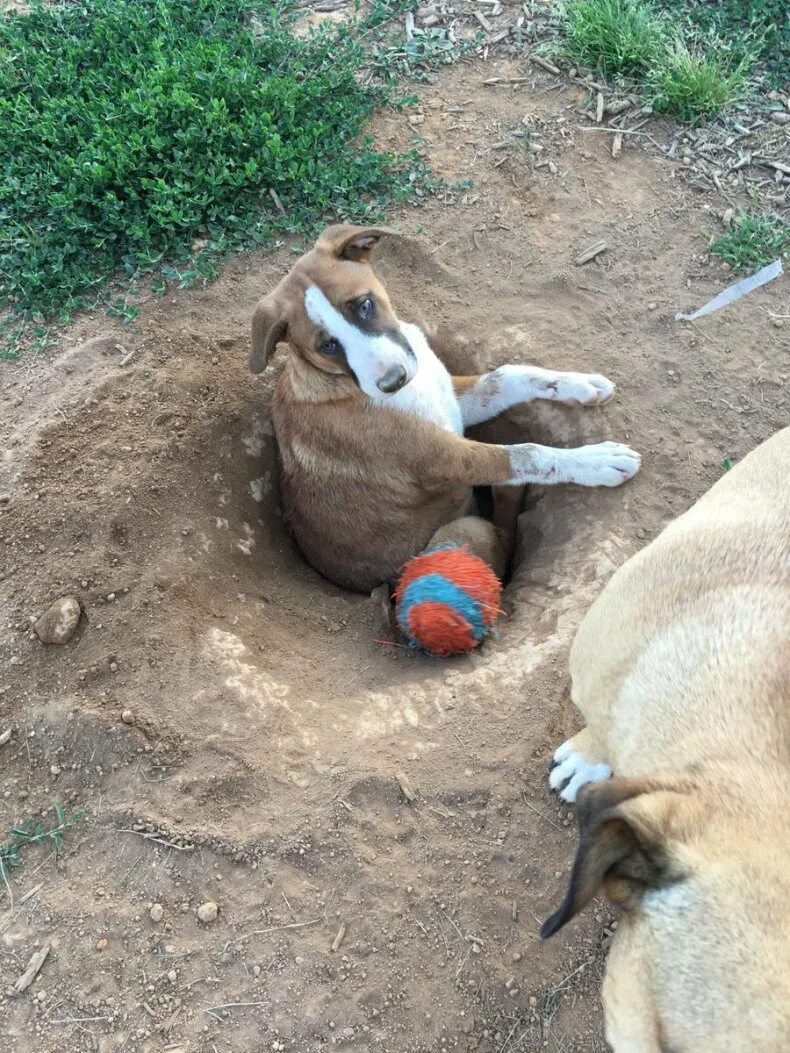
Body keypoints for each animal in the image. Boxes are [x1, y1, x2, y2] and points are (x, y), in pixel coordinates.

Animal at [250, 224, 640, 593]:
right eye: (328, 346)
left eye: (364, 305)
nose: (393, 381)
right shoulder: (444, 459)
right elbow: (527, 453)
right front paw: (598, 461)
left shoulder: (452, 403)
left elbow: (507, 375)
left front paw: (579, 383)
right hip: (464, 530)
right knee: (501, 538)